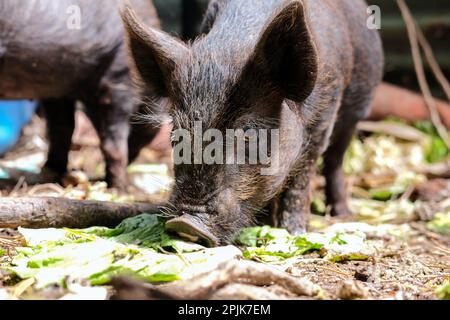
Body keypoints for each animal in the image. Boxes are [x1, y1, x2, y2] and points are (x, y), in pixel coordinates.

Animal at [0, 0, 162, 188]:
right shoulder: (120, 77)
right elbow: (112, 143)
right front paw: (120, 190)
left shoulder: (59, 89)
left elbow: (63, 128)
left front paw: (52, 174)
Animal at [122, 0, 384, 245]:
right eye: (176, 134)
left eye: (248, 133)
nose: (186, 222)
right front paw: (266, 224)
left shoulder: (324, 116)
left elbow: (300, 180)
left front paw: (294, 233)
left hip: (356, 112)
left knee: (335, 161)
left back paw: (342, 213)